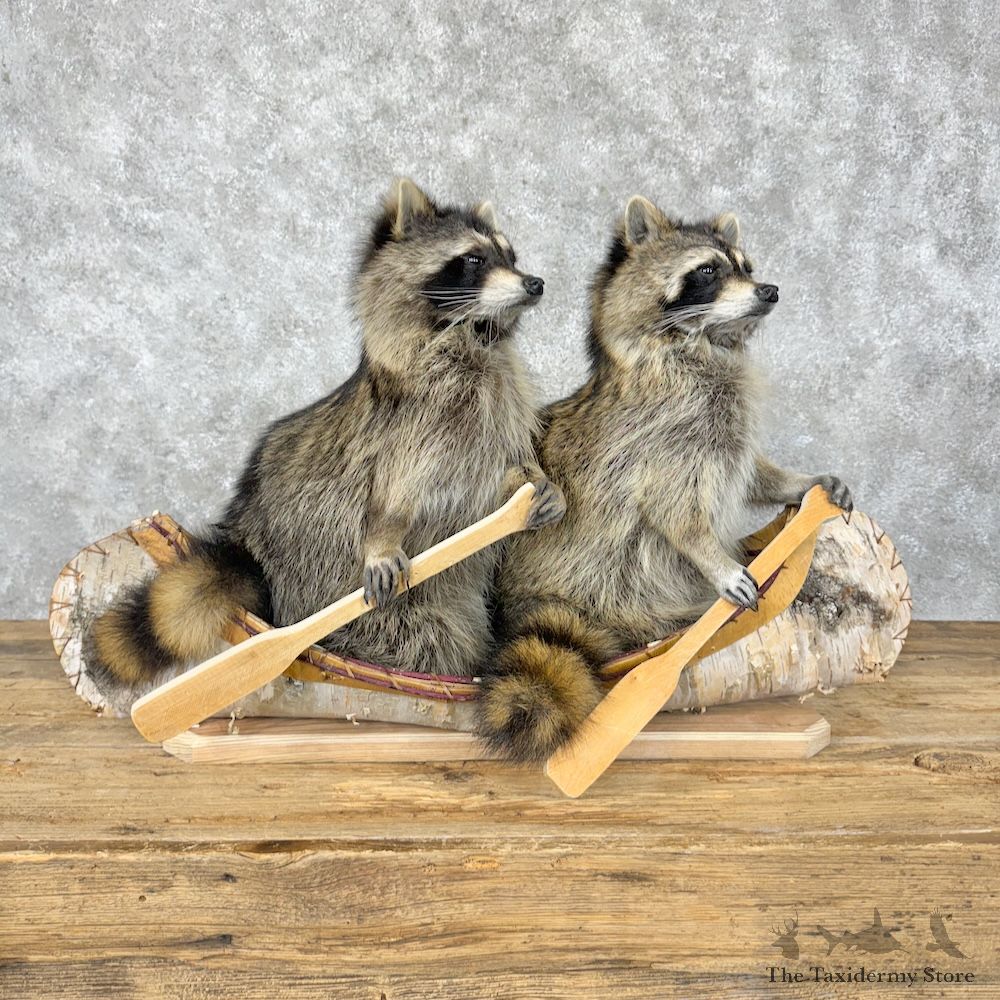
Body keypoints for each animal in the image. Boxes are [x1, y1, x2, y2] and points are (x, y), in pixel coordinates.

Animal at [91, 178, 565, 697]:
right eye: (474, 259)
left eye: (511, 256)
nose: (534, 282)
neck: (468, 337)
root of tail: (248, 540)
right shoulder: (412, 425)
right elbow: (391, 494)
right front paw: (383, 535)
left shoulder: (492, 416)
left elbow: (497, 480)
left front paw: (532, 481)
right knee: (421, 638)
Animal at [478, 196, 852, 761]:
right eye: (709, 272)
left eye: (747, 268)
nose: (769, 291)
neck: (699, 344)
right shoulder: (661, 439)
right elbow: (676, 514)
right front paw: (714, 558)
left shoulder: (721, 430)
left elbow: (751, 473)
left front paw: (798, 480)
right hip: (607, 587)